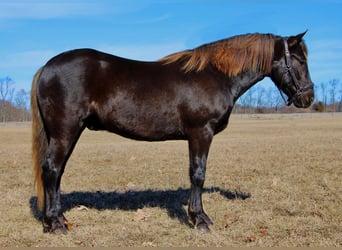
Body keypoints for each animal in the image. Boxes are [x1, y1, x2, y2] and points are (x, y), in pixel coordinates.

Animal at [30, 31, 314, 234]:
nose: (308, 97)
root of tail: (46, 67)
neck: (215, 74)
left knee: (57, 172)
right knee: (51, 170)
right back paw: (55, 224)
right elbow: (198, 174)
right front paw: (199, 219)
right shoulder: (201, 132)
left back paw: (58, 219)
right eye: (300, 60)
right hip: (65, 131)